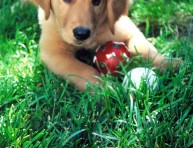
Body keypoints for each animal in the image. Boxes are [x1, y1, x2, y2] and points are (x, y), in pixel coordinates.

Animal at [33, 0, 179, 91]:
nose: (82, 34)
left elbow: (144, 49)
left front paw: (168, 63)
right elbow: (83, 69)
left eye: (97, 1)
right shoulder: (52, 52)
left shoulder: (126, 29)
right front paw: (103, 89)